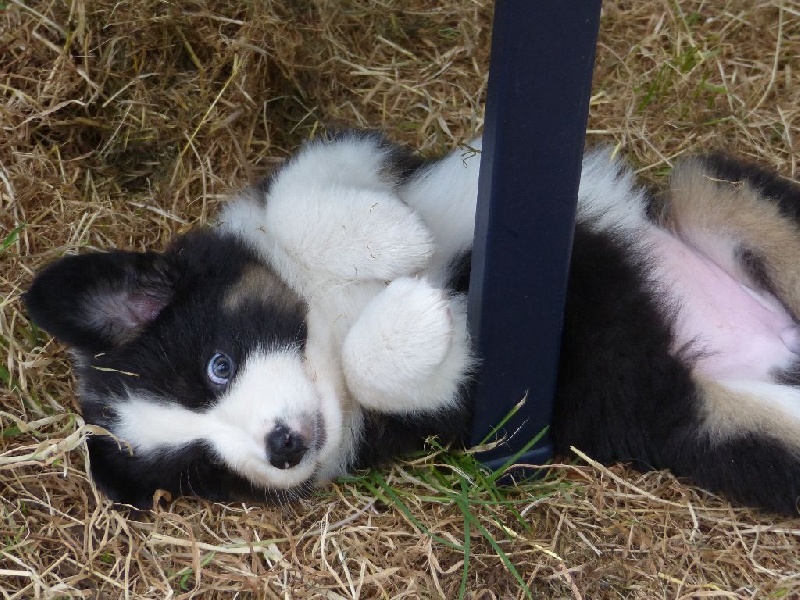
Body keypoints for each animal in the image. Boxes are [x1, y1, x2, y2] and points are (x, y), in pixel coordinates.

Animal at [24, 131, 800, 514]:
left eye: (217, 367)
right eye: (205, 467)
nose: (282, 448)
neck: (328, 320)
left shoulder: (357, 158)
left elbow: (300, 198)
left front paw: (392, 239)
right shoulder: (465, 406)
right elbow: (394, 373)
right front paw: (422, 313)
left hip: (710, 189)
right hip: (736, 427)